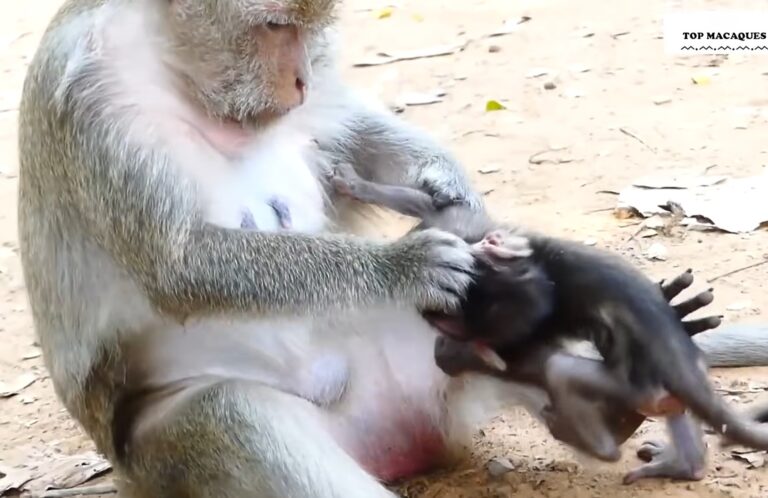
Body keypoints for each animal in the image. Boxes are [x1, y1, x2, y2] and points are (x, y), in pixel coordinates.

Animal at [327, 161, 768, 483]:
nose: (437, 321)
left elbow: (526, 314)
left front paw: (472, 349)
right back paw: (684, 463)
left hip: (634, 385)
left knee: (562, 370)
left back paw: (601, 443)